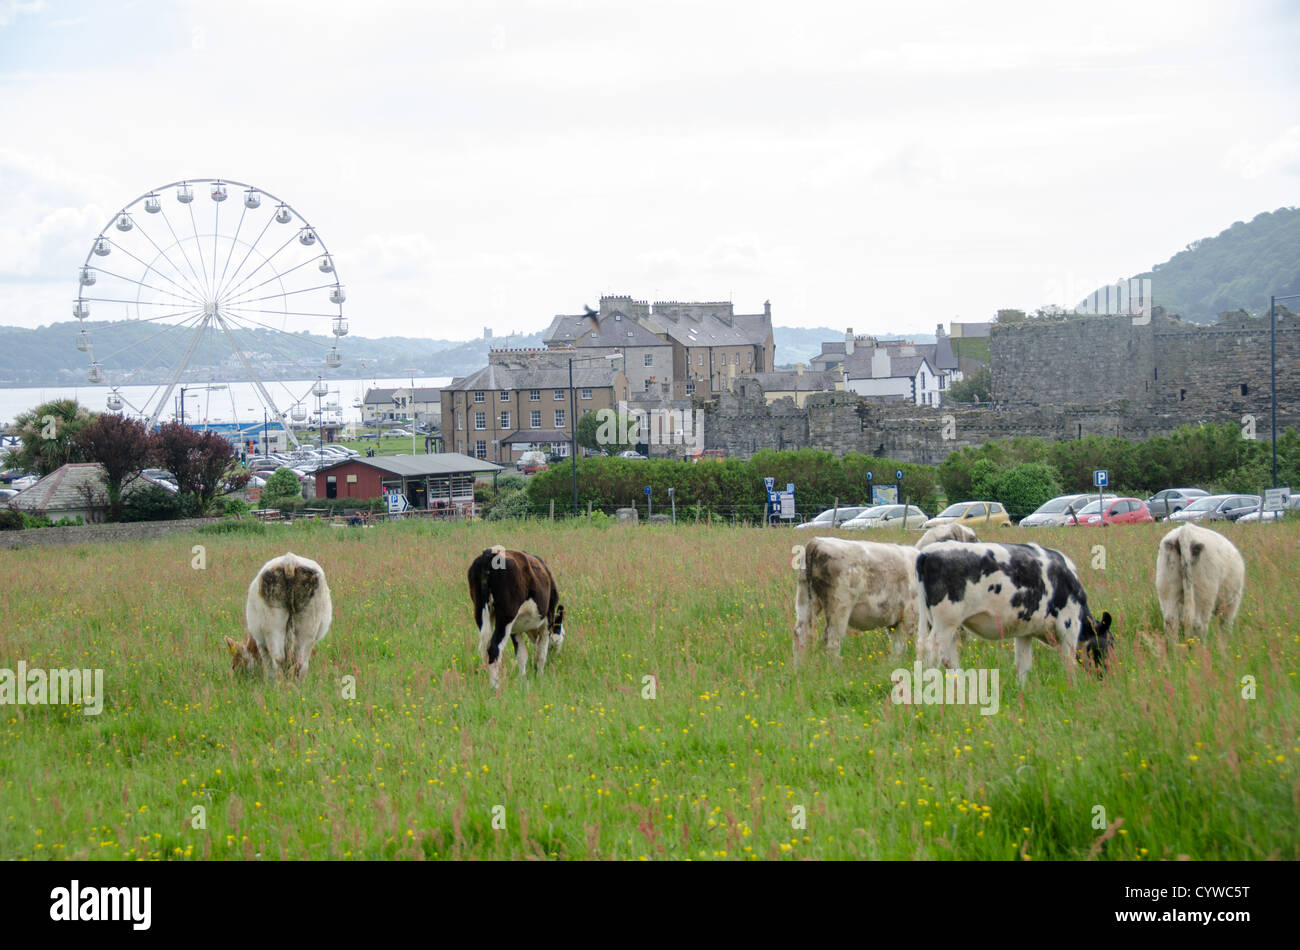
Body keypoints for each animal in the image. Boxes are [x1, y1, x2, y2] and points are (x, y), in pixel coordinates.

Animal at [470, 545, 566, 686]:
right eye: (562, 634)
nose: (557, 656)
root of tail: (490, 552)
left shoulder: (515, 629)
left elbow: (521, 654)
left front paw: (523, 680)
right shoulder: (547, 622)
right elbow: (541, 653)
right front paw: (540, 677)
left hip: (480, 611)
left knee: (485, 648)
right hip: (506, 617)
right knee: (494, 648)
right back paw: (495, 686)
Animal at [790, 538, 925, 665]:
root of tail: (817, 542)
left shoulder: (895, 622)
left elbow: (898, 647)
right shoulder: (913, 615)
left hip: (805, 600)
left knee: (800, 634)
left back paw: (799, 668)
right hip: (839, 607)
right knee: (832, 640)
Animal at [1159, 519, 1248, 647]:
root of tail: (1186, 530)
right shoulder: (1233, 603)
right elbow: (1226, 626)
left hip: (1168, 588)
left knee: (1170, 622)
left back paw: (1174, 650)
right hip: (1205, 594)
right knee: (1198, 624)